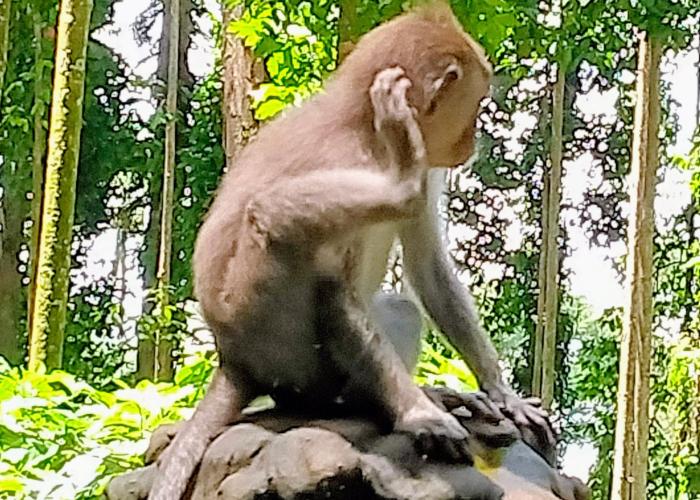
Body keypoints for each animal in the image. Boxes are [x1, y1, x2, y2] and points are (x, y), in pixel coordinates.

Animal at [150, 4, 550, 499]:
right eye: (474, 106)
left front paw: (502, 393)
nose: (470, 141)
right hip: (276, 342)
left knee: (398, 305)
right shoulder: (349, 159)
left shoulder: (426, 163)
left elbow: (428, 268)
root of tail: (234, 361)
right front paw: (420, 414)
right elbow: (336, 292)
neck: (370, 129)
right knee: (272, 218)